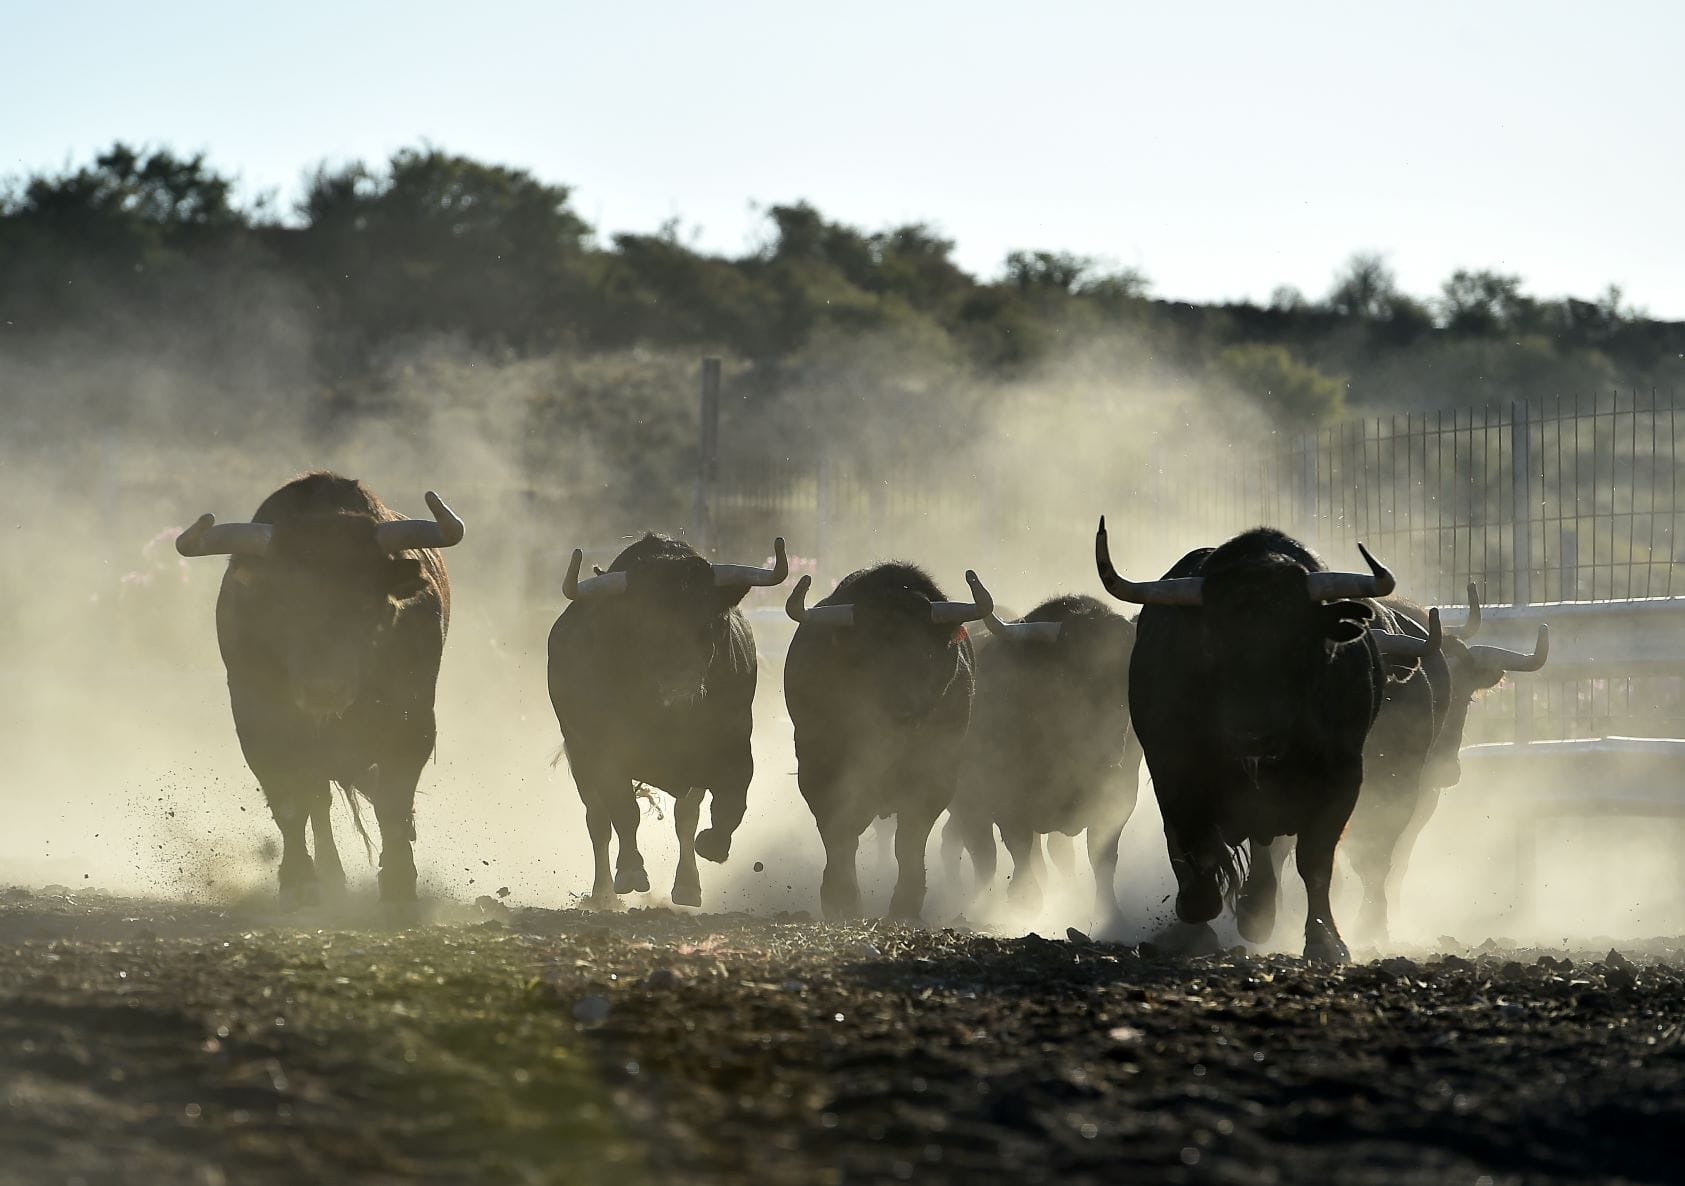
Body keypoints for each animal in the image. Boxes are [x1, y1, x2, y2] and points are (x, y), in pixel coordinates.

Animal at [176, 471, 461, 909]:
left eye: (367, 603)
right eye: (282, 602)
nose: (323, 689)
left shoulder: (412, 723)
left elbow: (393, 799)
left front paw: (399, 879)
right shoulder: (259, 722)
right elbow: (291, 801)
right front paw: (299, 880)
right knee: (317, 800)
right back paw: (330, 874)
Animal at [549, 532, 791, 902]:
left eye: (712, 621)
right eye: (640, 624)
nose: (680, 687)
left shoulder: (735, 748)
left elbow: (730, 804)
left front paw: (712, 846)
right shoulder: (604, 755)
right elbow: (624, 812)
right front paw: (631, 871)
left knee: (684, 818)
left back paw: (687, 884)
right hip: (580, 757)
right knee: (598, 821)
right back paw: (604, 894)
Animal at [781, 562, 990, 916]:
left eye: (927, 655)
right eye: (865, 654)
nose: (903, 712)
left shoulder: (936, 777)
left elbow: (909, 841)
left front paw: (906, 903)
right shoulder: (818, 769)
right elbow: (838, 833)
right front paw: (841, 898)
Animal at [936, 596, 1145, 929]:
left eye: (1127, 675)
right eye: (1073, 676)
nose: (1109, 752)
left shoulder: (1119, 798)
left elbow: (1101, 856)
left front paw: (1110, 914)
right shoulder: (1006, 800)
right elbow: (1018, 848)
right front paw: (1025, 901)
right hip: (966, 805)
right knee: (982, 855)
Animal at [1098, 522, 1428, 963]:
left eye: (1299, 639)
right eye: (1211, 641)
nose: (1252, 731)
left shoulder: (1343, 777)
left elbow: (1315, 861)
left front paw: (1325, 941)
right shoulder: (1172, 768)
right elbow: (1195, 847)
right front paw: (1194, 910)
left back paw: (1258, 910)